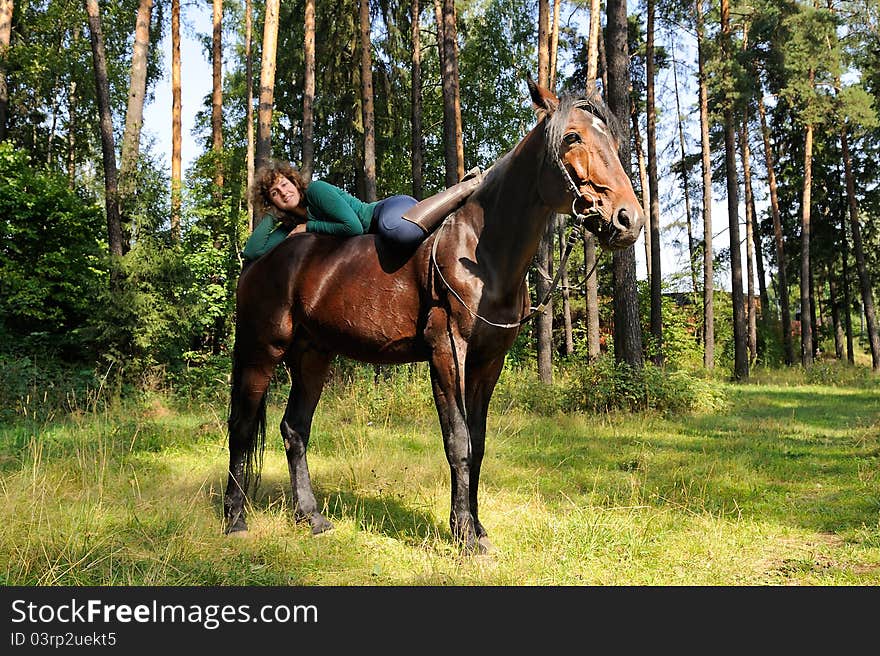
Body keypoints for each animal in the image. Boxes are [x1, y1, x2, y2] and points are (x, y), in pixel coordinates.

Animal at [223, 77, 644, 552]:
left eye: (613, 139)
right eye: (572, 137)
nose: (628, 219)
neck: (480, 251)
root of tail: (260, 258)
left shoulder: (487, 362)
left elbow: (478, 443)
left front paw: (476, 527)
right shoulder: (447, 352)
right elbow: (458, 442)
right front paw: (464, 536)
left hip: (313, 358)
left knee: (294, 430)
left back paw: (311, 517)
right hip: (261, 350)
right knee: (242, 428)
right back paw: (235, 520)